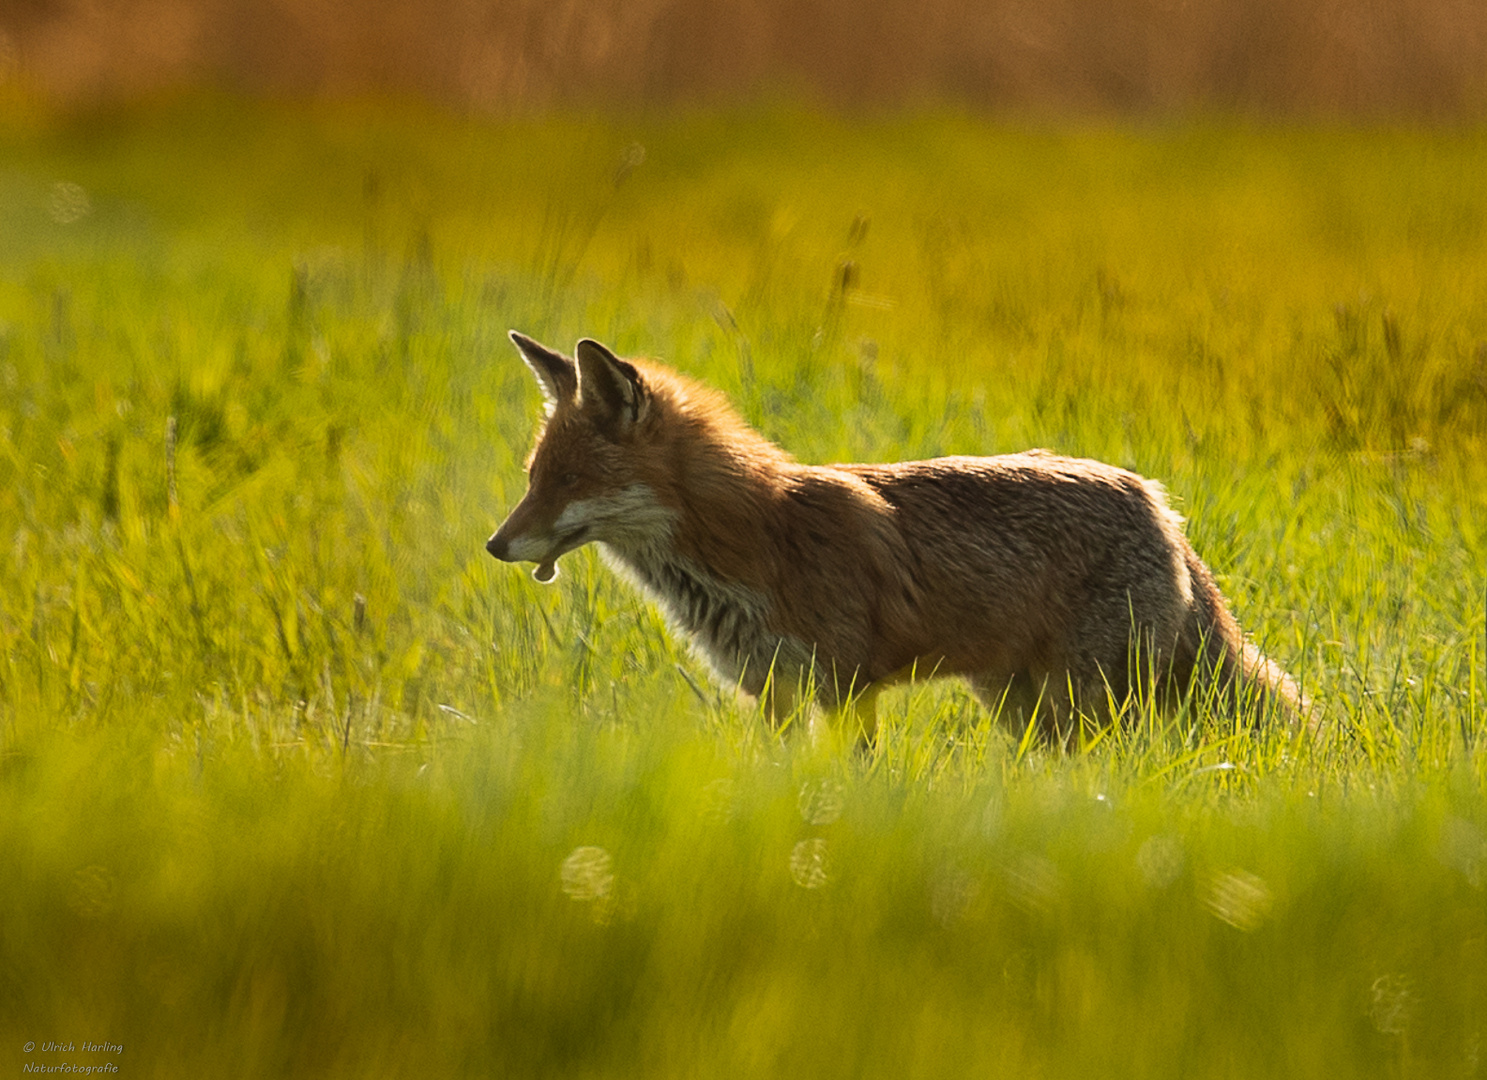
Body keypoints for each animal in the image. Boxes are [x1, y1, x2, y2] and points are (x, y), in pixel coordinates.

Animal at [487, 334, 1302, 749]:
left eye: (567, 482)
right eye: (534, 478)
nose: (495, 546)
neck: (755, 540)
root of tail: (1156, 501)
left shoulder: (848, 686)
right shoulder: (772, 694)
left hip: (1092, 699)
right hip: (1019, 701)